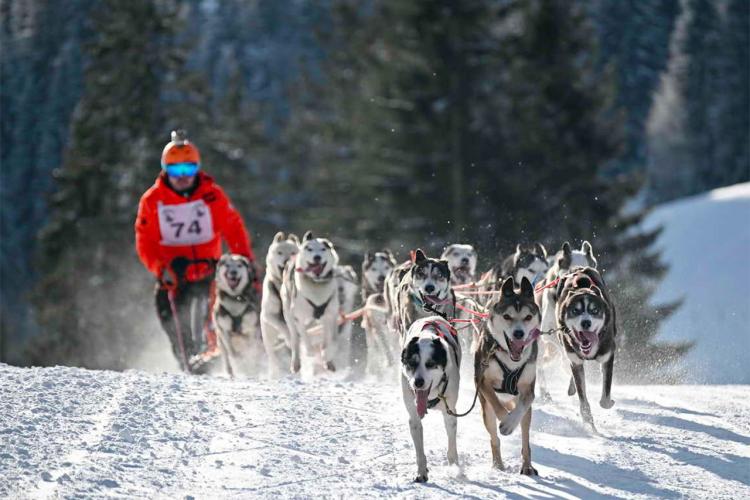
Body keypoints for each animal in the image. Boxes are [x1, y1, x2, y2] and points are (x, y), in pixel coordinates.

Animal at [262, 232, 300, 376]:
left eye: (293, 252)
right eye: (280, 252)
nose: (286, 261)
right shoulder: (268, 315)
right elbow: (283, 326)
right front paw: (289, 338)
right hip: (268, 337)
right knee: (272, 356)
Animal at [282, 232, 340, 374]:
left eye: (323, 249)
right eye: (309, 249)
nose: (317, 257)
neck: (316, 283)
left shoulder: (331, 316)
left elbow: (333, 341)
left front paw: (327, 355)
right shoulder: (298, 317)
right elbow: (304, 336)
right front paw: (310, 352)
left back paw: (328, 361)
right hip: (289, 316)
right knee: (295, 340)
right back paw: (296, 363)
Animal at [402, 314, 462, 482]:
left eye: (430, 364)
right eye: (412, 363)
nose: (418, 382)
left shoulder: (450, 413)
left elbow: (452, 445)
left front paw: (454, 468)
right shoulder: (414, 417)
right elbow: (419, 451)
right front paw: (421, 472)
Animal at [476, 278, 540, 476]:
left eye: (528, 317)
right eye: (507, 316)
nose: (519, 333)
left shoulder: (528, 389)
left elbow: (522, 407)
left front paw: (510, 423)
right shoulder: (483, 382)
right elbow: (497, 405)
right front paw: (505, 421)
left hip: (527, 414)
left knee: (525, 440)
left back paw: (527, 466)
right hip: (486, 412)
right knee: (494, 438)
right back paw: (498, 463)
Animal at [560, 266, 616, 430]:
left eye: (594, 310)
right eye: (575, 310)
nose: (586, 323)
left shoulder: (608, 357)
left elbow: (605, 398)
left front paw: (608, 402)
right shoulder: (575, 360)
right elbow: (582, 397)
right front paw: (588, 420)